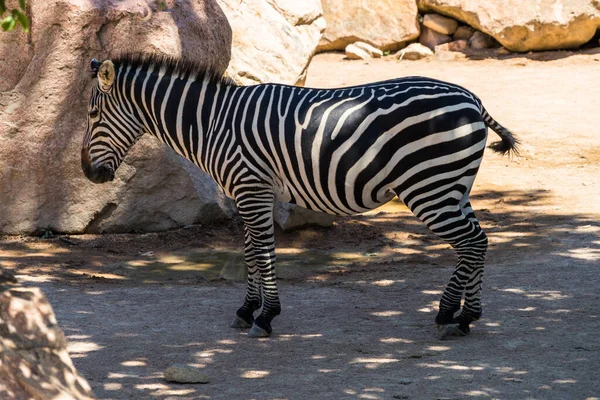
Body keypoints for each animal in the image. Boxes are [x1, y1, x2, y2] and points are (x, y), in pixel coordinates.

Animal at [82, 54, 516, 340]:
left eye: (91, 115)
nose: (88, 174)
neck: (214, 124)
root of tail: (471, 99)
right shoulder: (249, 194)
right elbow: (251, 254)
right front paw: (247, 310)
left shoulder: (252, 189)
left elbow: (263, 253)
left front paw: (265, 316)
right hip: (453, 186)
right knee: (478, 242)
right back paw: (466, 316)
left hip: (430, 188)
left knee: (471, 243)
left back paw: (449, 314)